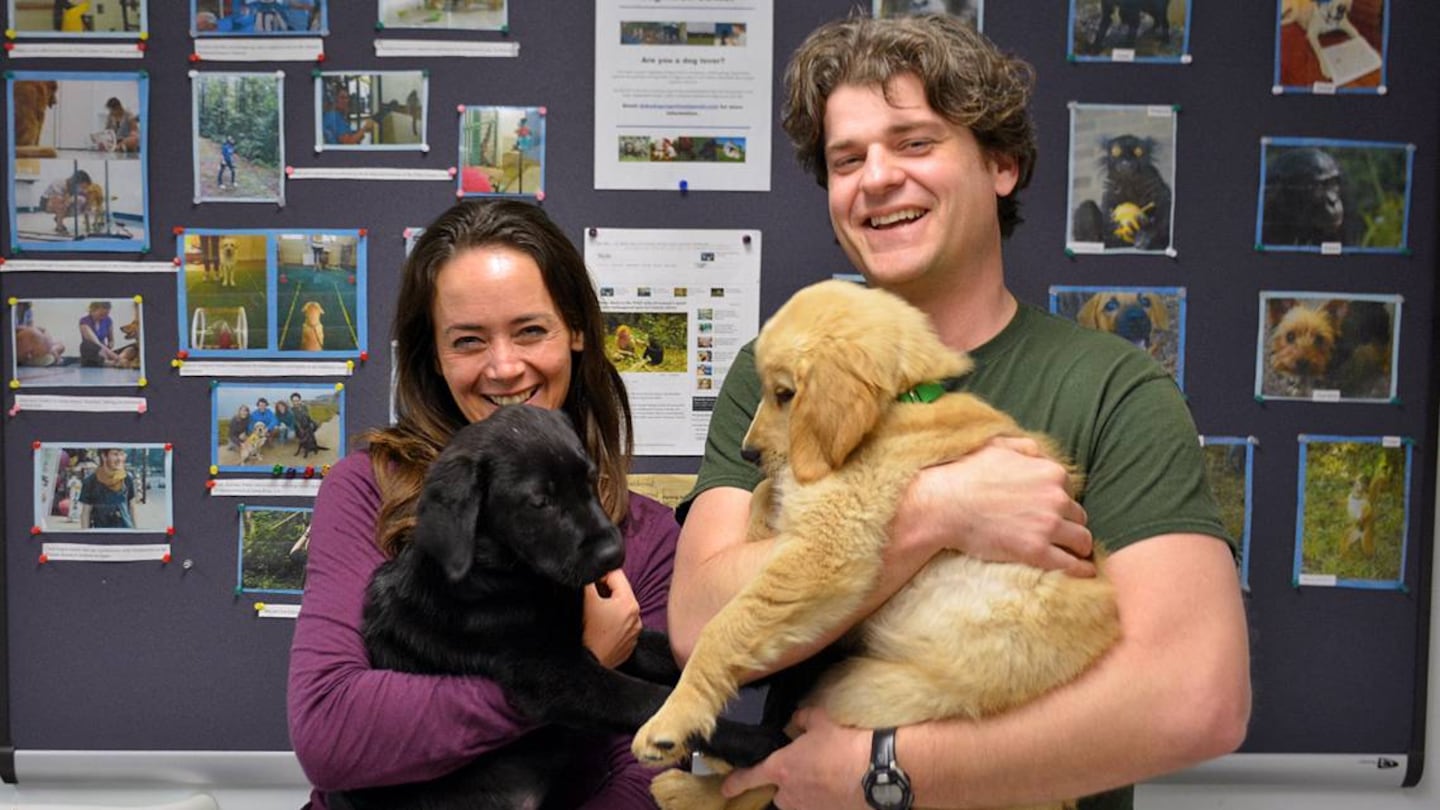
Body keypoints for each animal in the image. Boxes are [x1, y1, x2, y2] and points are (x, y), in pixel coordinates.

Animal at [331, 403, 783, 807]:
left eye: (590, 478)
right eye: (540, 502)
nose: (612, 553)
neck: (510, 576)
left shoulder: (607, 644)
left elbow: (676, 651)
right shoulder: (555, 673)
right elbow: (652, 701)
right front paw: (756, 740)